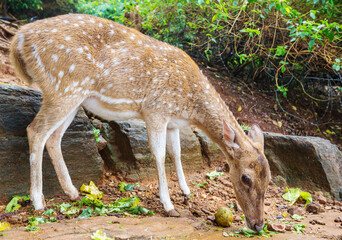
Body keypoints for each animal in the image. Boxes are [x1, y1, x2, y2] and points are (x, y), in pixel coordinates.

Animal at [10, 14, 272, 232]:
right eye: (245, 178)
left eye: (269, 178)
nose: (258, 225)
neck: (190, 106)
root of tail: (19, 38)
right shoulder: (156, 109)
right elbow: (159, 154)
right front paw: (168, 205)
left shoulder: (172, 122)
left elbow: (176, 153)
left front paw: (186, 192)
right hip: (63, 86)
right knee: (35, 130)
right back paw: (38, 201)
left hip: (73, 96)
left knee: (54, 137)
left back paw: (73, 192)